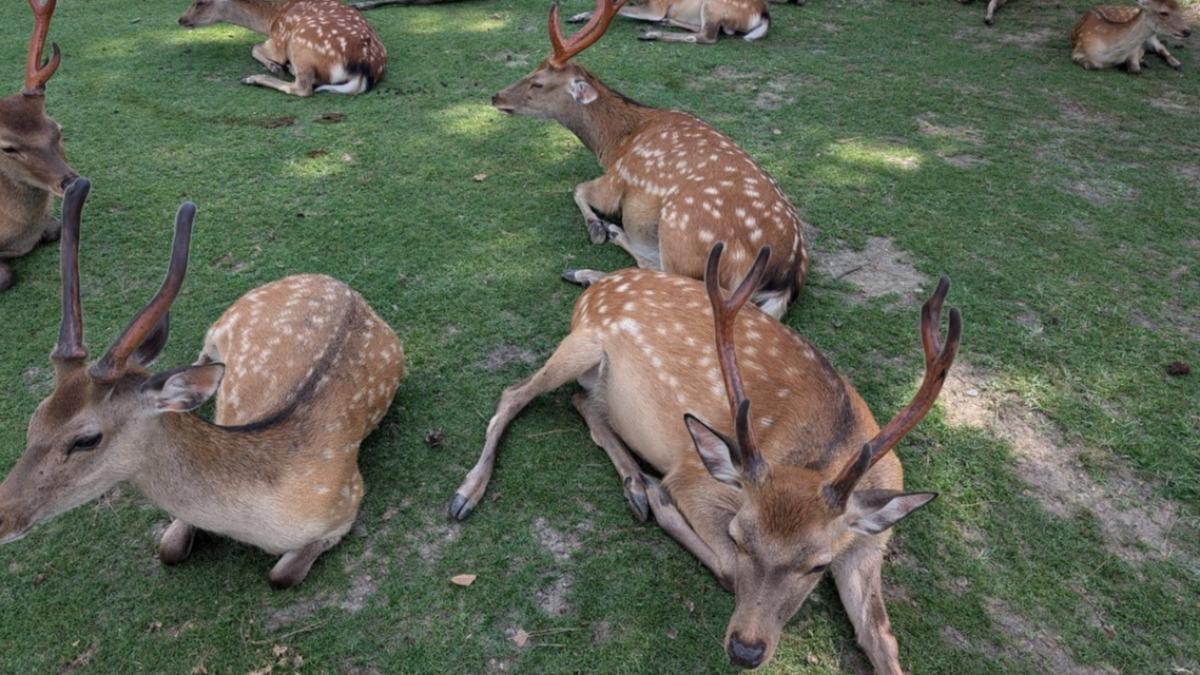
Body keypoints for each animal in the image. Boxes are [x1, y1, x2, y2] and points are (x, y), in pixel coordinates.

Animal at [0, 178, 405, 589]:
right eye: (34, 421)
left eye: (86, 439)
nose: (2, 518)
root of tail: (339, 284)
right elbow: (169, 548)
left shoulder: (345, 503)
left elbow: (280, 575)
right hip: (222, 323)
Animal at [178, 0, 387, 96]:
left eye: (200, 2)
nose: (181, 19)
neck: (271, 19)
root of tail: (364, 68)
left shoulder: (278, 41)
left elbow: (254, 47)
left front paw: (275, 66)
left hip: (300, 42)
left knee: (302, 87)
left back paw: (254, 78)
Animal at [450, 244, 960, 671]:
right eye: (738, 537)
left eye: (818, 565)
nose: (745, 650)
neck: (825, 449)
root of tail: (600, 286)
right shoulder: (695, 477)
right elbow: (728, 568)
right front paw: (660, 499)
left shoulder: (870, 541)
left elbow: (881, 637)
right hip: (581, 343)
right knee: (515, 393)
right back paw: (469, 493)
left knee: (583, 402)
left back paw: (633, 483)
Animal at [492, 0, 808, 319]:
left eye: (538, 84)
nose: (496, 96)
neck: (614, 143)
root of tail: (786, 279)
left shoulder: (616, 181)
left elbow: (578, 188)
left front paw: (596, 228)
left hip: (682, 229)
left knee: (673, 278)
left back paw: (587, 266)